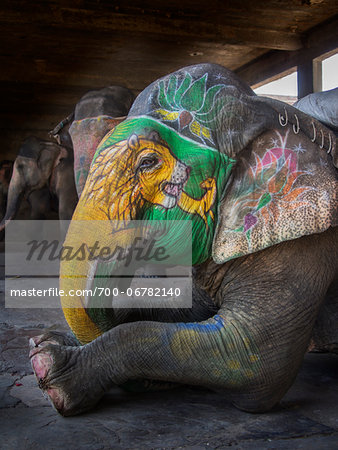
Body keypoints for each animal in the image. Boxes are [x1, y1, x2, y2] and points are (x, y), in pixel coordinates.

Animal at [29, 62, 338, 414]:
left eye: (148, 162)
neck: (266, 110)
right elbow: (185, 314)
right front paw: (48, 341)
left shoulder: (303, 236)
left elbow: (251, 355)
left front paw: (49, 367)